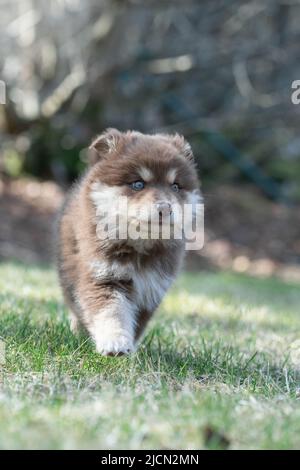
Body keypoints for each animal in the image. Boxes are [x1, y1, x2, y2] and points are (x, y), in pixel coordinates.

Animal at [57, 129, 200, 356]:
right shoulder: (103, 275)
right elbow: (112, 312)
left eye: (176, 186)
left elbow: (136, 323)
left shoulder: (152, 288)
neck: (140, 245)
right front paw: (114, 343)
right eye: (138, 184)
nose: (165, 208)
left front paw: (130, 349)